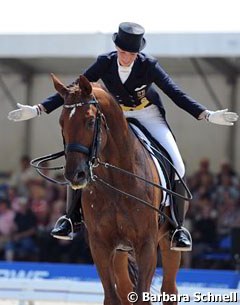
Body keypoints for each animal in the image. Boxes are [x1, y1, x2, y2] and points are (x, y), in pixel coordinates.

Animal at [51, 74, 181, 304]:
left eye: (90, 121)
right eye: (61, 123)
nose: (75, 174)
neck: (117, 181)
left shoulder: (146, 245)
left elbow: (142, 296)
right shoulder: (100, 245)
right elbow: (112, 297)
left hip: (168, 242)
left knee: (169, 289)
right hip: (120, 252)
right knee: (125, 289)